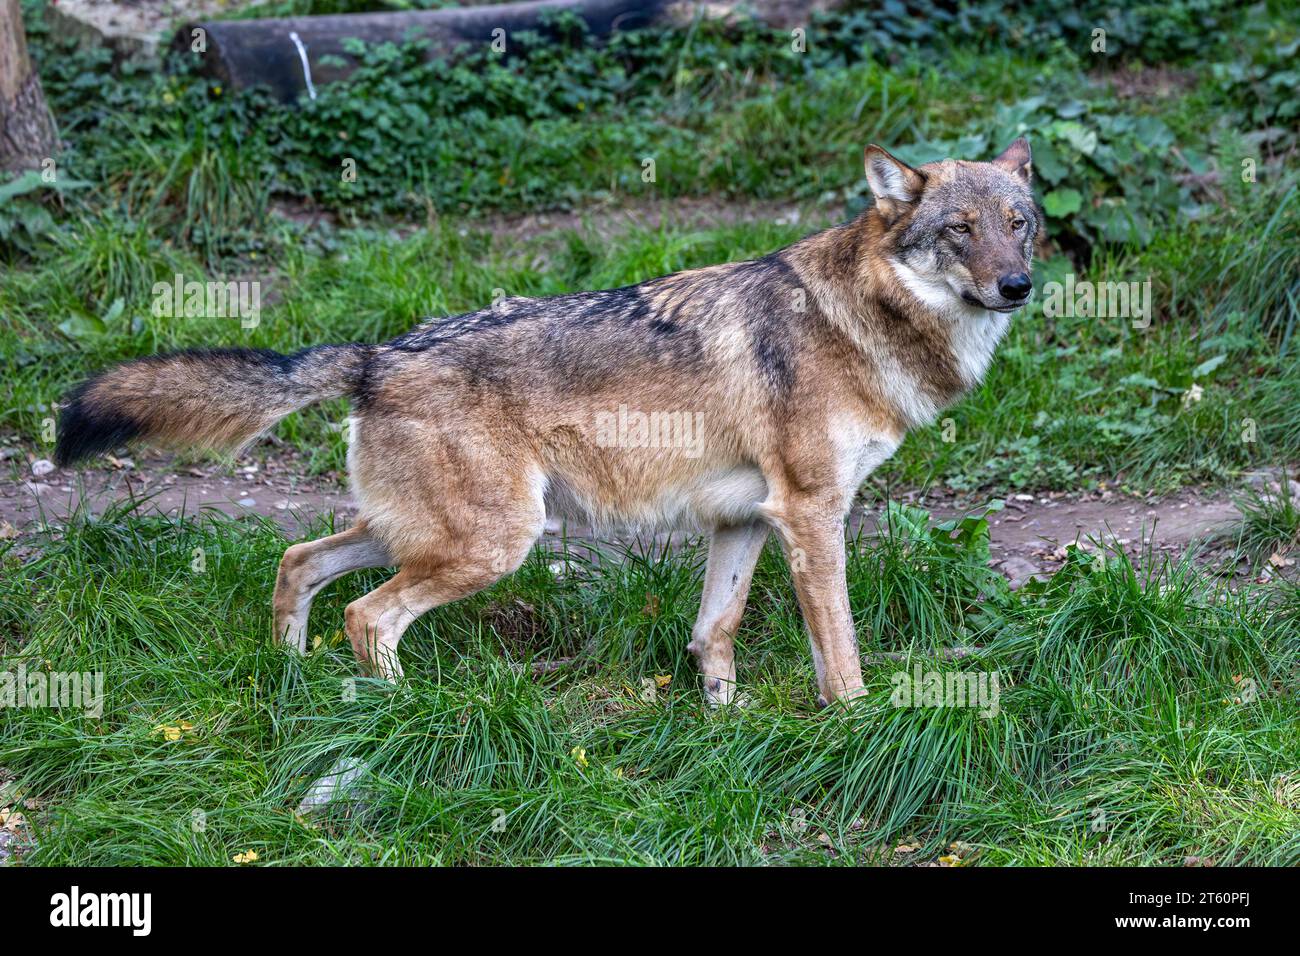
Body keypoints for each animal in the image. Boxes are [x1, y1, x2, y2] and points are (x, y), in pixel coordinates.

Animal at [55, 140, 1038, 707]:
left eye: (1018, 223)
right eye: (958, 230)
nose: (1019, 285)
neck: (865, 320)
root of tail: (376, 355)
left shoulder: (745, 520)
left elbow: (712, 633)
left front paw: (722, 726)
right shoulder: (812, 515)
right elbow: (839, 651)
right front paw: (855, 724)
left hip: (432, 533)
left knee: (300, 564)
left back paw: (293, 684)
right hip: (493, 544)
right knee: (368, 616)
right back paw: (406, 714)